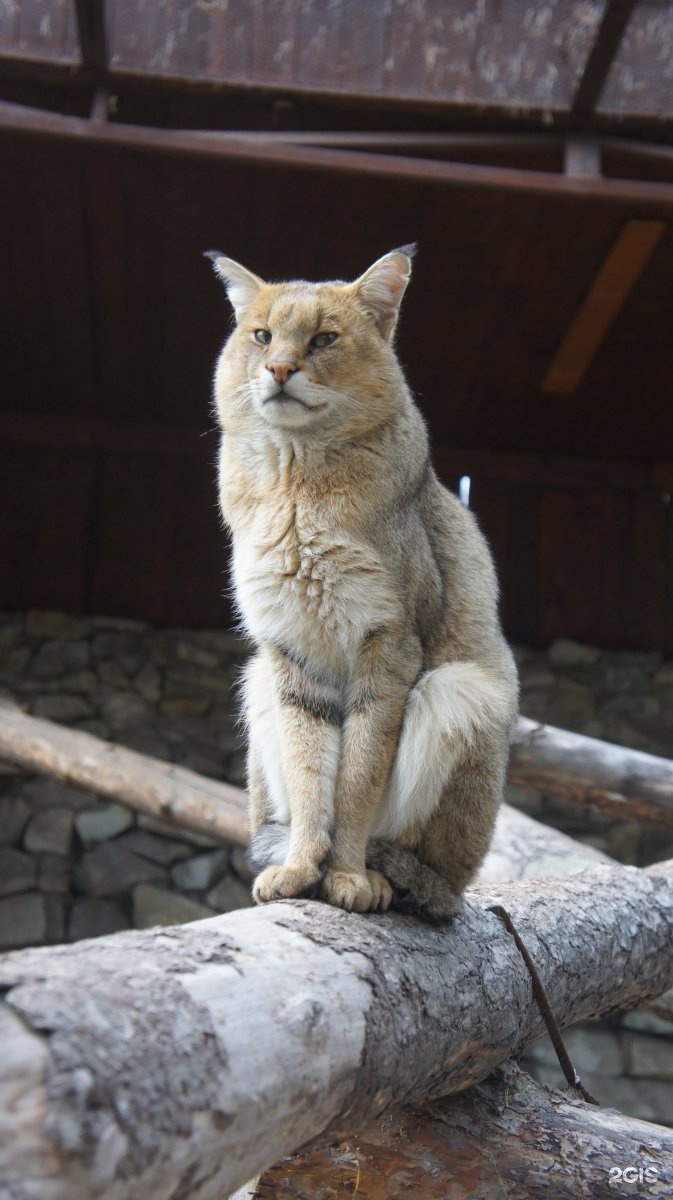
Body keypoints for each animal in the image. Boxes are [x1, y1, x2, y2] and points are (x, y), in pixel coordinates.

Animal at [207, 243, 515, 916]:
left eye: (324, 339)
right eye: (262, 336)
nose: (278, 369)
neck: (294, 483)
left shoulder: (388, 640)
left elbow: (359, 773)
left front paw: (345, 874)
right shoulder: (289, 648)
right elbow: (310, 768)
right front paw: (303, 866)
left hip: (464, 687)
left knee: (441, 884)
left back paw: (389, 876)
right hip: (256, 677)